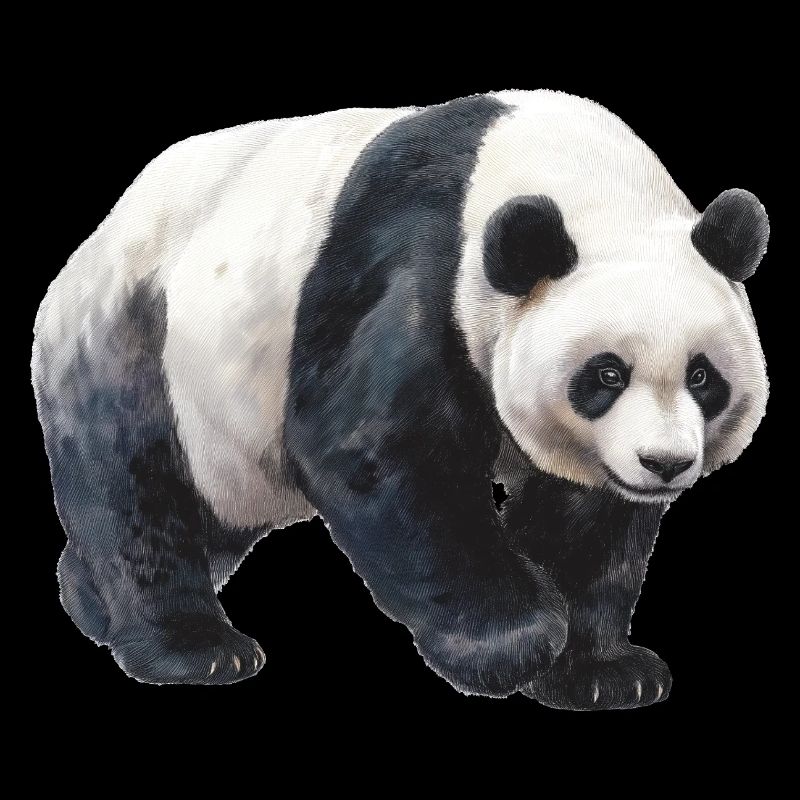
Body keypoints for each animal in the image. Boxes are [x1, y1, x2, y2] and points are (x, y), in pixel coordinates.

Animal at [31, 90, 769, 710]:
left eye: (702, 377)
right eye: (607, 375)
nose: (665, 463)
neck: (584, 183)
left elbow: (589, 517)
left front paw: (600, 671)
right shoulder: (418, 258)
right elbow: (378, 449)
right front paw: (514, 643)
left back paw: (88, 598)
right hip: (139, 329)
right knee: (137, 483)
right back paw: (193, 648)